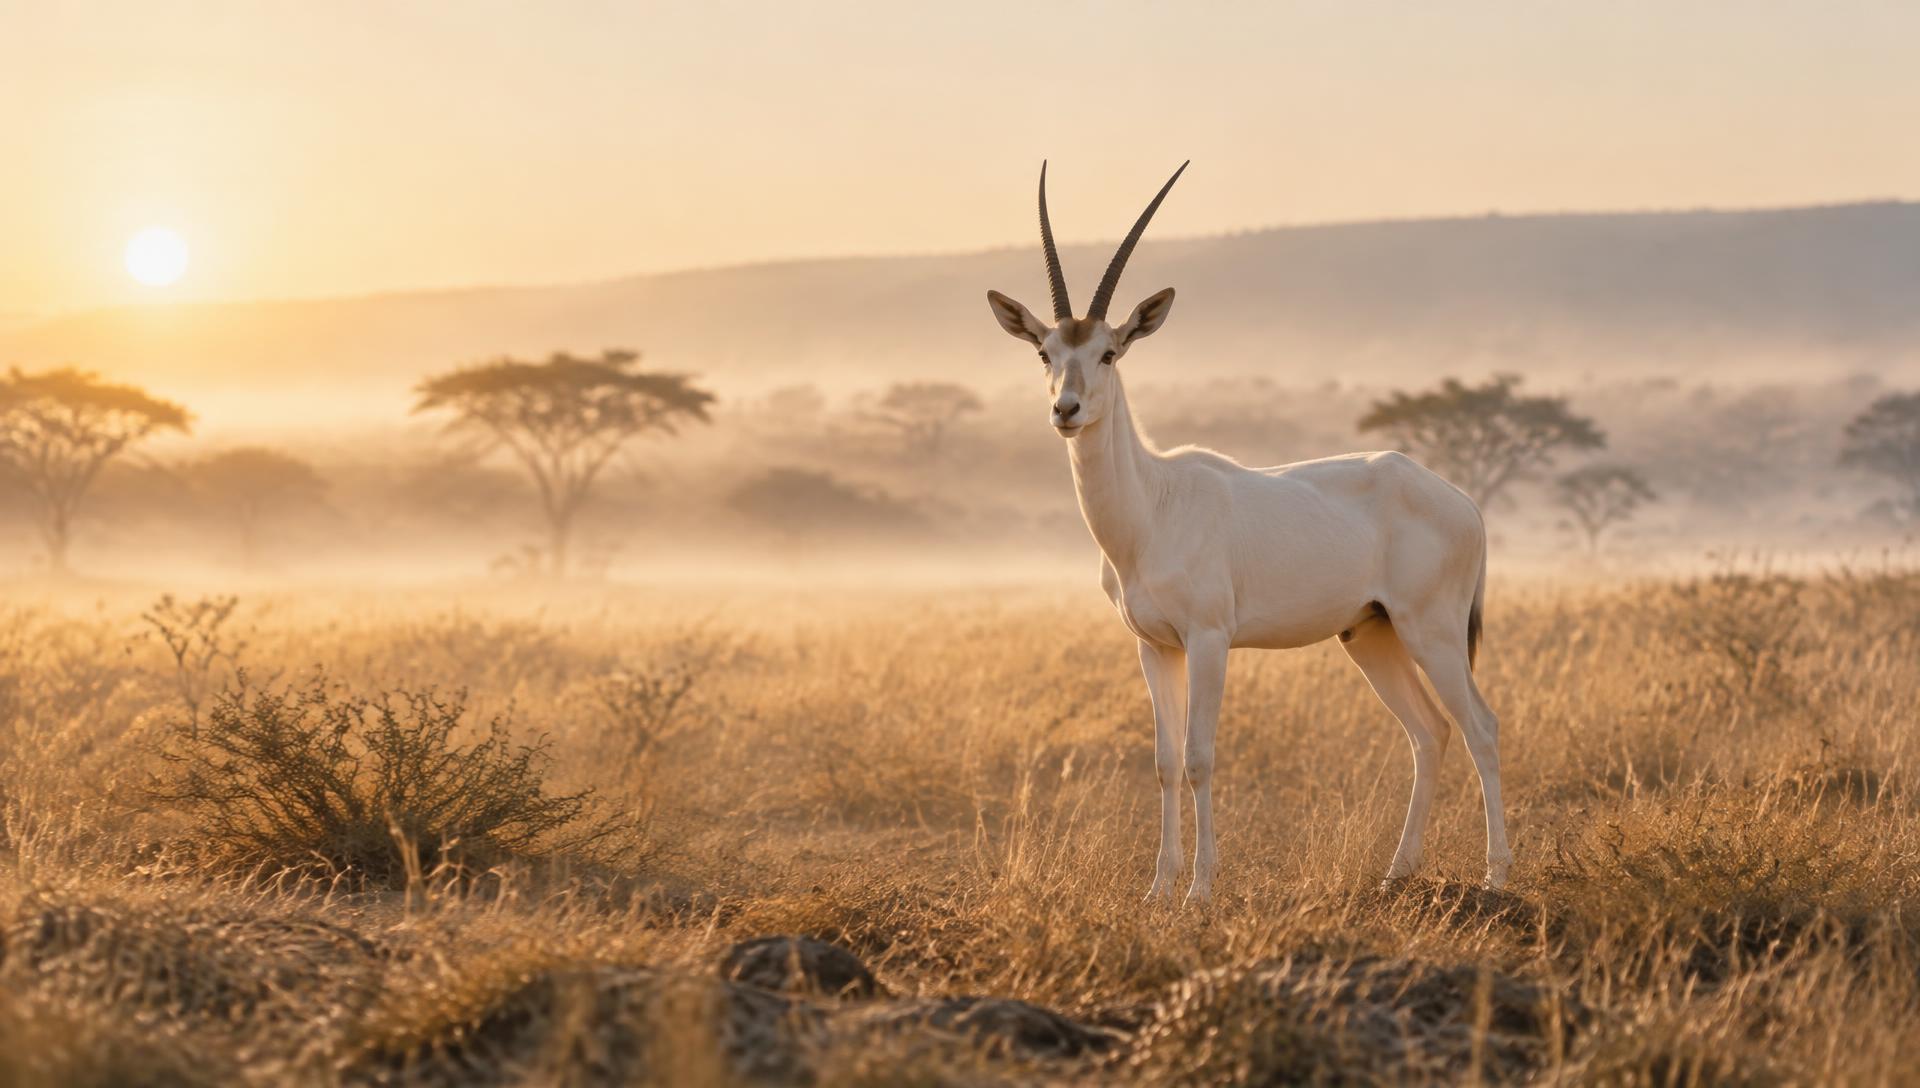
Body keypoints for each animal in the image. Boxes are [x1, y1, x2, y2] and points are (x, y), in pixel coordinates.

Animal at [985, 163, 1510, 902]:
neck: (1153, 508)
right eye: (1044, 351)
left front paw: (1201, 891)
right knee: (1430, 732)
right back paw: (1396, 872)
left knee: (1481, 728)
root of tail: (1462, 502)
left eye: (1110, 352)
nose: (1067, 408)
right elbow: (1165, 760)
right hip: (1371, 634)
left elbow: (1201, 757)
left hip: (1431, 630)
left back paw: (1497, 876)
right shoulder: (1155, 648)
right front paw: (1158, 889)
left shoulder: (1209, 640)